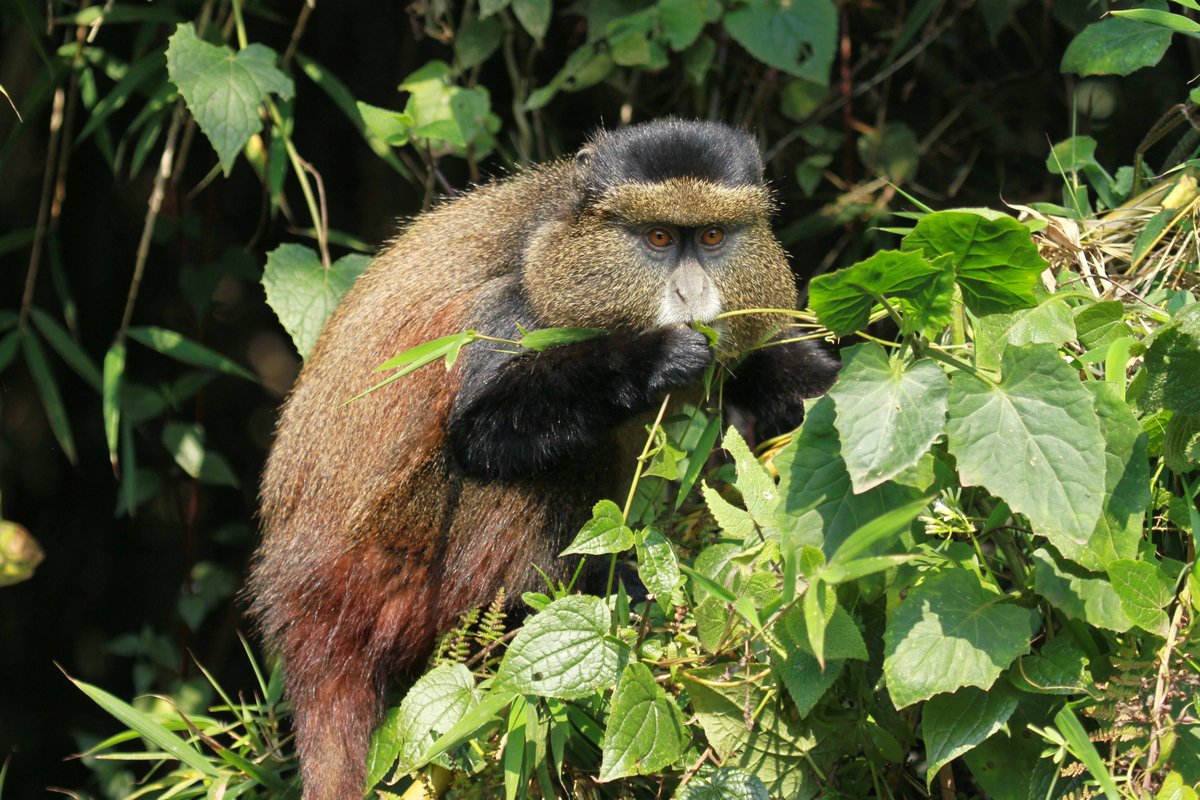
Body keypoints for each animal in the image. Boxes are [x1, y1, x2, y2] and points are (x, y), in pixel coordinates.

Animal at [247, 118, 840, 799]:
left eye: (713, 237)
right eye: (659, 238)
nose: (691, 294)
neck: (554, 245)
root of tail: (299, 609)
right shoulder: (510, 311)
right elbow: (482, 431)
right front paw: (655, 358)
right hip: (398, 561)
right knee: (546, 466)